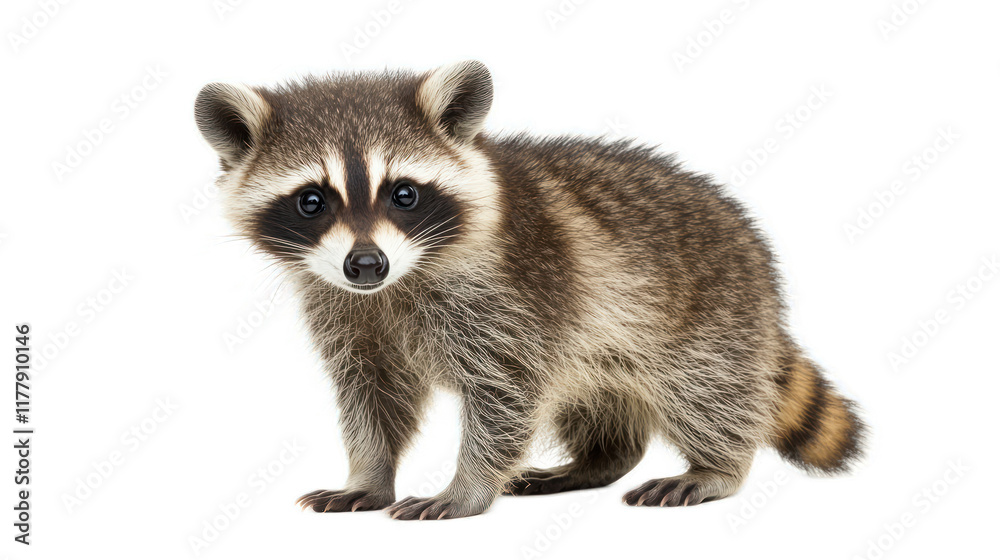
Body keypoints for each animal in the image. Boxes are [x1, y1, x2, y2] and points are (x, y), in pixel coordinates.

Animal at [194, 61, 865, 520]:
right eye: (311, 201)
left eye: (403, 194)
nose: (365, 264)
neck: (399, 280)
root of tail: (755, 254)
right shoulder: (342, 308)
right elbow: (372, 394)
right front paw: (370, 474)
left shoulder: (516, 294)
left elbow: (506, 393)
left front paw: (467, 487)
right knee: (601, 407)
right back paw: (596, 462)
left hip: (709, 315)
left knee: (709, 392)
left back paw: (717, 467)